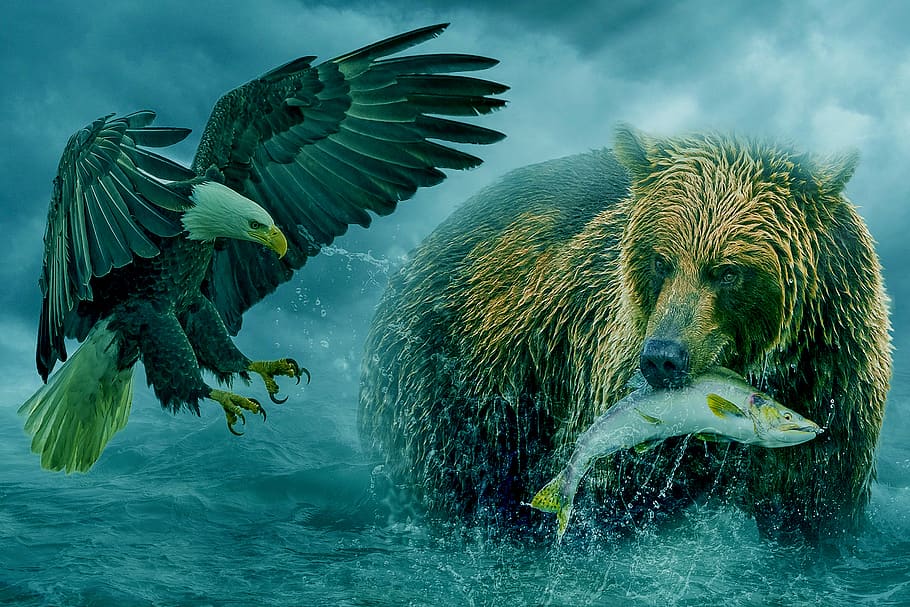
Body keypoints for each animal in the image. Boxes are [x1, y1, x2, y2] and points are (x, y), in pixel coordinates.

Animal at [358, 125, 892, 542]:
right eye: (661, 260)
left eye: (728, 271)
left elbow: (810, 507)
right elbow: (613, 500)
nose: (662, 357)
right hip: (451, 384)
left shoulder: (834, 391)